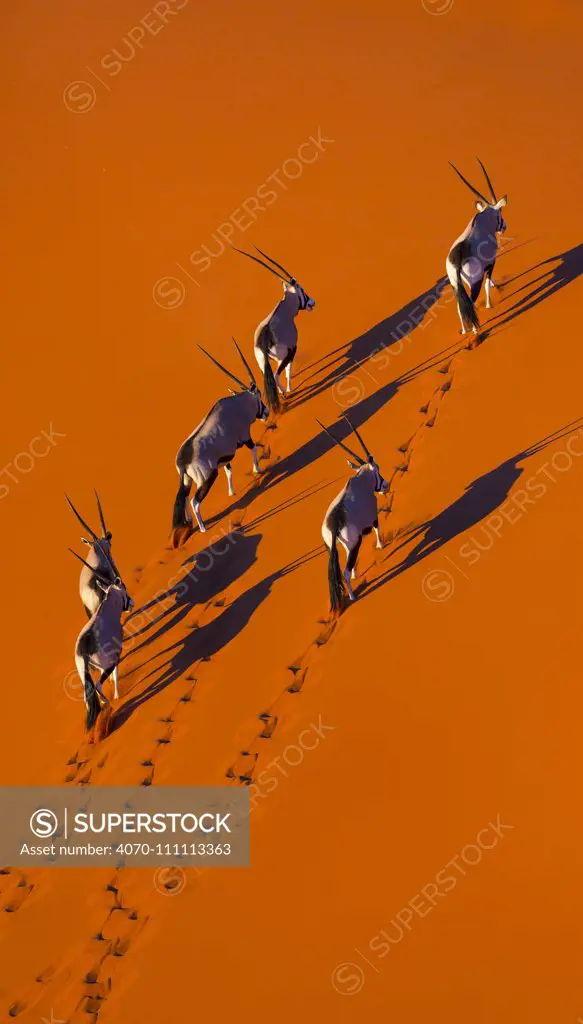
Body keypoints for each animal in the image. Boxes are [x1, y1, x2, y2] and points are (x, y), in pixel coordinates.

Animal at [69, 552, 132, 729]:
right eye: (124, 588)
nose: (131, 603)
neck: (107, 610)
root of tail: (83, 651)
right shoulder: (115, 656)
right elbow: (115, 675)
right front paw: (117, 695)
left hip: (84, 673)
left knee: (88, 696)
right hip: (106, 665)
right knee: (97, 685)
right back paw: (107, 703)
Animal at [170, 339, 266, 540]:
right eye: (259, 395)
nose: (266, 412)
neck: (238, 405)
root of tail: (182, 461)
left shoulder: (225, 455)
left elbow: (229, 471)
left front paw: (231, 491)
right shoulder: (245, 436)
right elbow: (253, 449)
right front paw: (258, 469)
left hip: (187, 480)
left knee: (184, 497)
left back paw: (189, 522)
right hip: (207, 478)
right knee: (195, 501)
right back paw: (203, 528)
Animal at [232, 244, 315, 411]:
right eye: (302, 290)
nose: (312, 302)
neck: (285, 309)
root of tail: (263, 339)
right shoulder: (292, 351)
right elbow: (288, 372)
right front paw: (290, 388)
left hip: (263, 364)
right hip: (281, 358)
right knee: (276, 376)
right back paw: (284, 393)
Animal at [319, 413, 389, 610]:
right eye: (378, 469)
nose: (385, 486)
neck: (361, 481)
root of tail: (334, 524)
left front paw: (357, 573)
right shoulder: (373, 517)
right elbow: (377, 529)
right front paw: (381, 545)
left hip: (339, 546)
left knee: (345, 567)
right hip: (352, 544)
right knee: (344, 571)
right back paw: (351, 596)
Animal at [444, 159, 504, 335]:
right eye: (500, 214)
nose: (504, 227)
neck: (483, 221)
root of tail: (457, 260)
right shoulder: (491, 263)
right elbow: (487, 284)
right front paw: (489, 304)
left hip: (455, 285)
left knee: (460, 307)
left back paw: (465, 331)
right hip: (473, 283)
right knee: (470, 303)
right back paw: (476, 331)